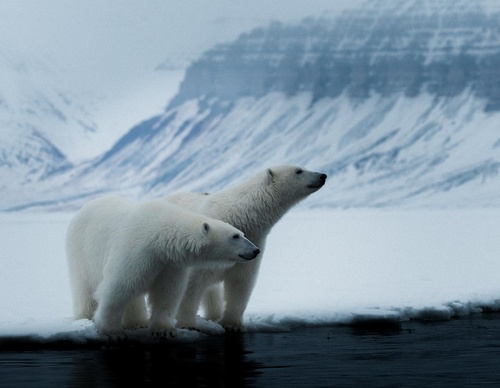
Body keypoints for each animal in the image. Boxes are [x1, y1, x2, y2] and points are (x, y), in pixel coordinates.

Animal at [65, 194, 260, 336]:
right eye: (235, 236)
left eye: (242, 233)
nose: (255, 250)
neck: (160, 236)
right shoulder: (136, 251)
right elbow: (118, 288)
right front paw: (111, 332)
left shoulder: (169, 263)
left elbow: (166, 293)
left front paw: (163, 330)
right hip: (80, 250)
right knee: (84, 286)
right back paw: (85, 318)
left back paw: (138, 323)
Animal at [167, 165, 328, 332]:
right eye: (298, 171)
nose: (323, 175)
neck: (240, 215)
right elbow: (190, 285)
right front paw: (187, 324)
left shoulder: (252, 245)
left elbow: (241, 282)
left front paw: (232, 324)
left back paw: (214, 315)